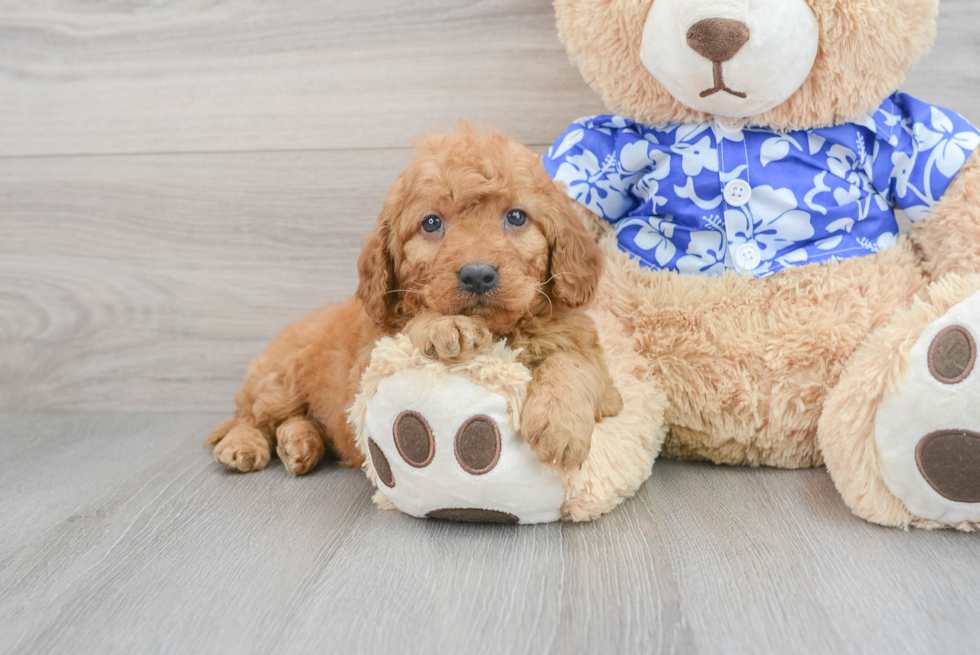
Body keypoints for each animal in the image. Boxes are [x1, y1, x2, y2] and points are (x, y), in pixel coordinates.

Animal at [205, 125, 620, 480]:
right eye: (431, 223)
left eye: (517, 216)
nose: (478, 275)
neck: (501, 331)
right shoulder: (365, 371)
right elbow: (409, 324)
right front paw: (443, 324)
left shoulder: (601, 375)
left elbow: (572, 363)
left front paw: (559, 424)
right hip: (280, 378)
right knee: (253, 416)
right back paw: (243, 445)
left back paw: (298, 443)